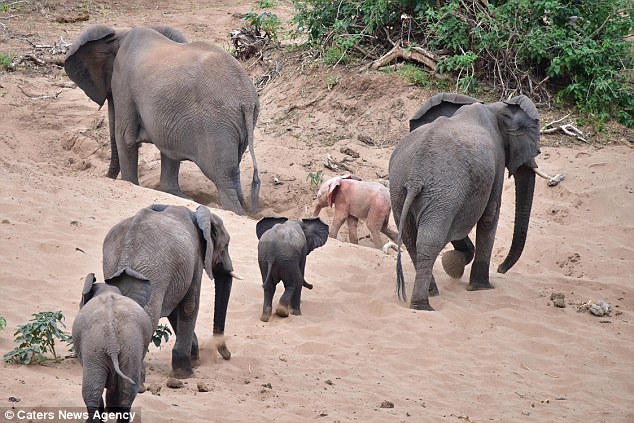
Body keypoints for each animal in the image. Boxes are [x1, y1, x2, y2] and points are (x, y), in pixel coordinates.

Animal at [65, 24, 260, 215]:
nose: (106, 178)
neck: (121, 33)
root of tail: (246, 97)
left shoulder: (123, 82)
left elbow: (125, 138)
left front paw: (130, 183)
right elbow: (168, 144)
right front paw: (173, 193)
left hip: (216, 124)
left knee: (223, 176)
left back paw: (235, 211)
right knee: (233, 173)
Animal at [72, 274, 152, 422]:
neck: (107, 290)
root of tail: (112, 341)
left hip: (94, 346)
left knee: (92, 390)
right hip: (130, 346)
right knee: (127, 391)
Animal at [100, 205, 241, 378]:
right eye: (226, 245)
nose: (227, 356)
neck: (197, 214)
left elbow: (176, 310)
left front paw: (195, 363)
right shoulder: (195, 257)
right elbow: (189, 305)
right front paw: (186, 373)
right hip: (153, 274)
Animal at [388, 93, 540, 312]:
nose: (501, 269)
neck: (494, 107)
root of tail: (416, 175)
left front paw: (452, 265)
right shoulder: (497, 160)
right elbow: (489, 216)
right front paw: (480, 287)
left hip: (402, 189)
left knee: (411, 239)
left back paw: (430, 293)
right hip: (441, 190)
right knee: (430, 240)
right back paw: (423, 306)